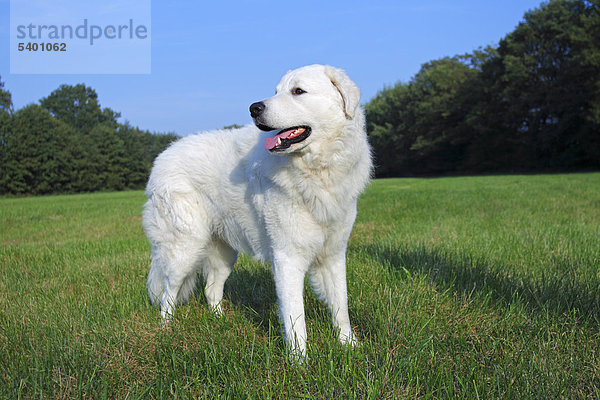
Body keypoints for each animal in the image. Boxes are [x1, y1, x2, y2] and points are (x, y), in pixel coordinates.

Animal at [143, 65, 372, 360]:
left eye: (298, 91)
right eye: (276, 91)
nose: (254, 108)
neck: (317, 171)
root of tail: (163, 156)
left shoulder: (333, 253)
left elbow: (340, 305)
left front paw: (349, 345)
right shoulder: (287, 258)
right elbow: (296, 317)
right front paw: (299, 362)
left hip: (224, 253)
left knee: (211, 290)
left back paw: (221, 322)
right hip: (185, 248)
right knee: (168, 293)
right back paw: (166, 330)